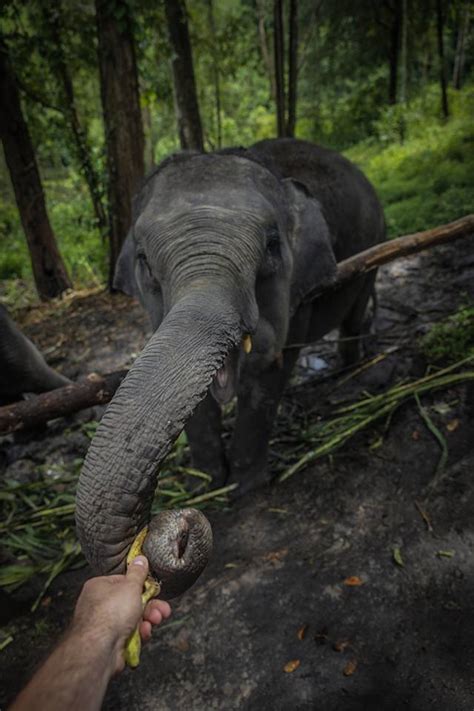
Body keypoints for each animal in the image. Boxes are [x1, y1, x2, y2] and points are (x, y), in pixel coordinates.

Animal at [75, 136, 386, 580]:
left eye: (273, 244)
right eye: (145, 262)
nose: (178, 527)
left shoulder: (297, 292)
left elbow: (270, 368)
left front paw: (244, 487)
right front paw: (206, 484)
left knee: (356, 311)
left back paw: (351, 369)